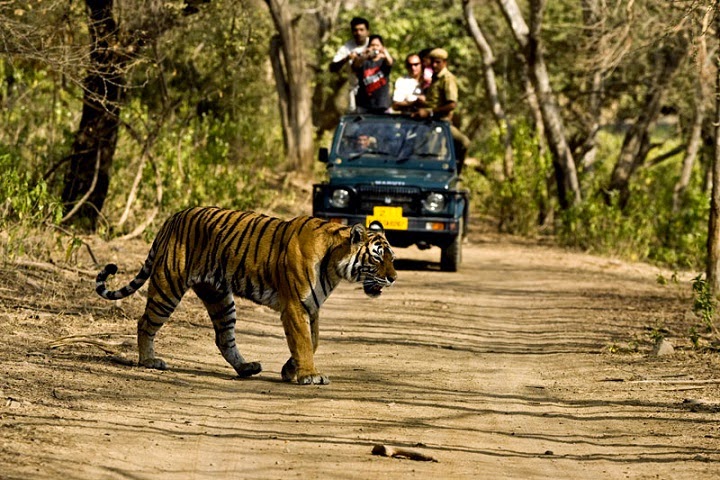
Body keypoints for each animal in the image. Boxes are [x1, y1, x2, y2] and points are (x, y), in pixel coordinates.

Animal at [93, 207, 396, 386]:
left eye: (392, 257)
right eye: (377, 256)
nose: (394, 278)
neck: (335, 264)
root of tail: (173, 216)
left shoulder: (313, 307)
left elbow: (313, 341)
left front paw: (290, 370)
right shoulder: (295, 306)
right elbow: (303, 342)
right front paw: (309, 375)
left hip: (219, 298)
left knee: (224, 338)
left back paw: (246, 368)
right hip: (169, 286)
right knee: (145, 322)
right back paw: (149, 361)